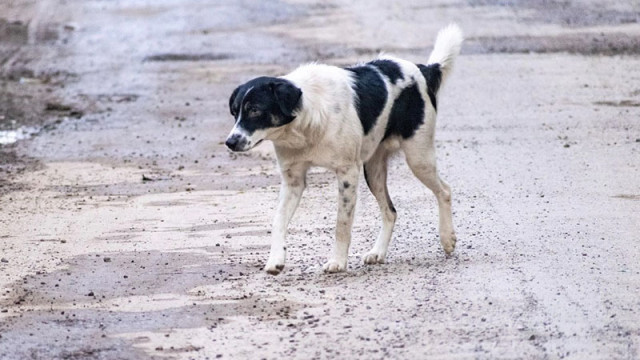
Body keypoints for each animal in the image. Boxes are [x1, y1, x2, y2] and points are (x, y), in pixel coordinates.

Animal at [228, 23, 462, 274]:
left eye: (255, 110)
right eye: (234, 112)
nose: (230, 142)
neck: (305, 122)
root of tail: (423, 69)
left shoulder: (348, 172)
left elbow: (342, 223)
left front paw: (338, 262)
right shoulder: (293, 181)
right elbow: (278, 220)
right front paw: (275, 260)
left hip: (418, 157)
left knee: (444, 191)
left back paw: (447, 238)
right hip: (374, 169)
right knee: (390, 211)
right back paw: (378, 252)